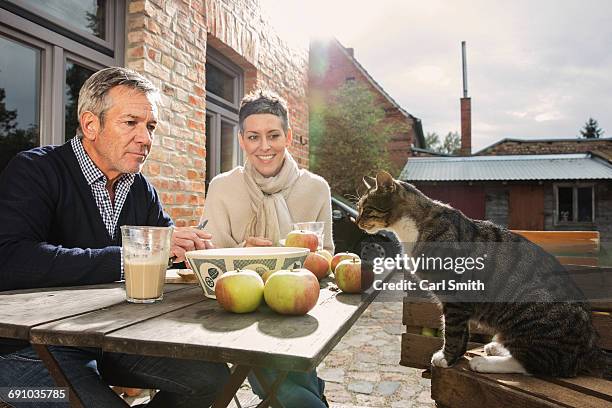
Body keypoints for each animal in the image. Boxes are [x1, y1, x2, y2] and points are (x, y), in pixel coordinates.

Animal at [356, 171, 608, 378]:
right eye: (358, 208)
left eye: (366, 208)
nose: (356, 221)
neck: (414, 227)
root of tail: (590, 347)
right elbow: (459, 331)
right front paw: (455, 356)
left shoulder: (454, 295)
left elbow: (453, 331)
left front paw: (447, 358)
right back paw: (497, 346)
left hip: (534, 309)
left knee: (539, 364)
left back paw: (486, 363)